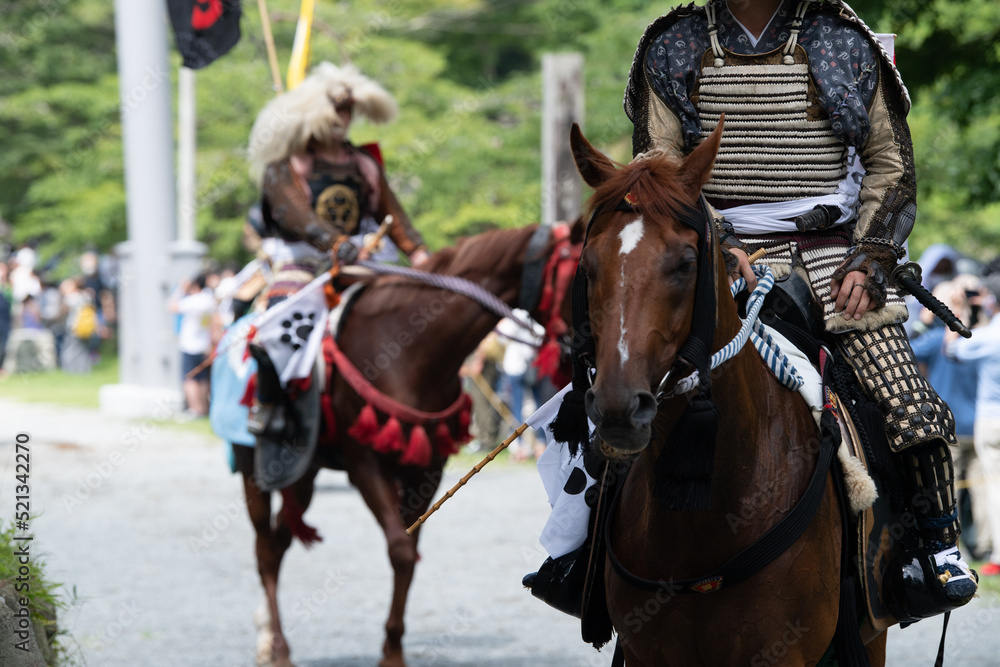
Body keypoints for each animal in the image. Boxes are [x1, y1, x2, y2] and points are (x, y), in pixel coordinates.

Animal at [233, 221, 580, 667]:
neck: (411, 350)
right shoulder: (367, 465)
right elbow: (400, 549)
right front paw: (391, 653)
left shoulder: (426, 471)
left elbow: (410, 557)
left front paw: (394, 648)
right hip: (253, 471)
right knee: (263, 549)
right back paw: (277, 646)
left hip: (304, 472)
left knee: (278, 545)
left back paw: (269, 637)